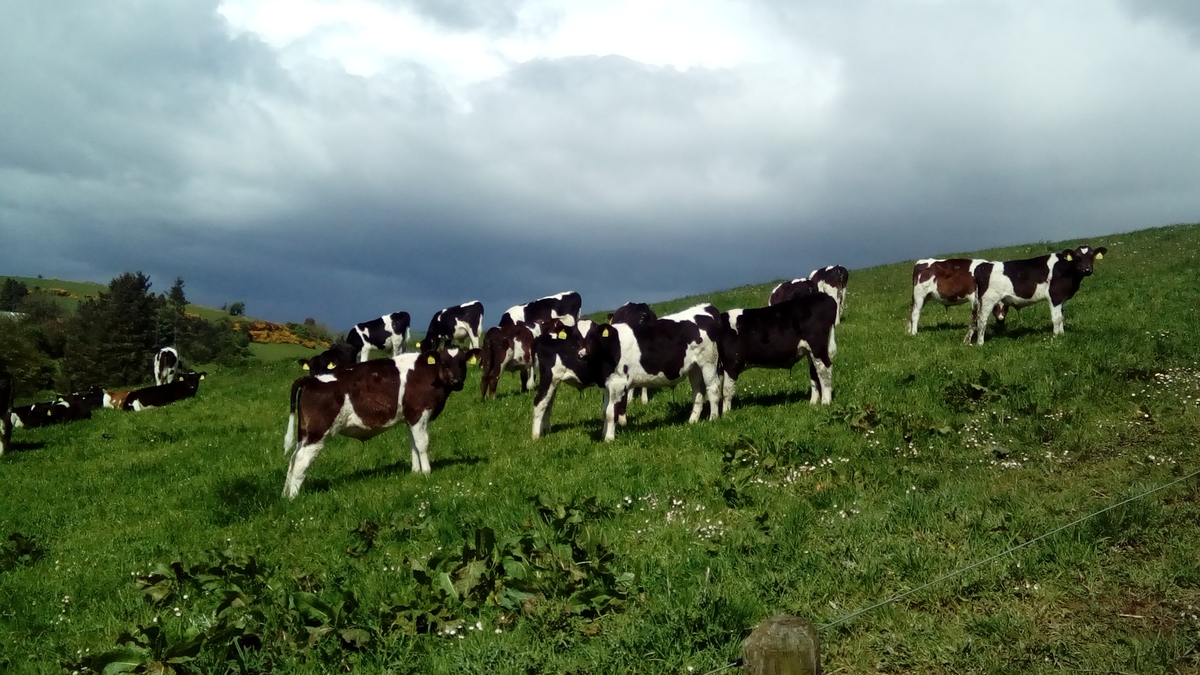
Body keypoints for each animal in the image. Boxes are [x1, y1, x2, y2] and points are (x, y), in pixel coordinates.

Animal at [281, 347, 480, 498]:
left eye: (462, 363)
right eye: (444, 363)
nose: (457, 381)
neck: (427, 374)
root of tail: (311, 379)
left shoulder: (409, 418)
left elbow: (413, 445)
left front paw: (415, 472)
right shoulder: (419, 414)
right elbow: (423, 444)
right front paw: (426, 473)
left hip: (304, 433)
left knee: (293, 459)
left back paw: (285, 494)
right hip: (318, 432)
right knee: (301, 460)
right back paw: (293, 497)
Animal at [532, 304, 722, 442]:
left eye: (593, 336)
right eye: (576, 337)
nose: (582, 354)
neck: (609, 348)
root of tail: (706, 308)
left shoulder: (617, 383)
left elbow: (610, 412)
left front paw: (609, 438)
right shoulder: (607, 384)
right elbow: (605, 411)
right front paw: (604, 435)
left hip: (708, 362)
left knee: (713, 388)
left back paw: (713, 419)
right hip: (694, 367)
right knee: (698, 391)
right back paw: (692, 420)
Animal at [967, 245, 1108, 345]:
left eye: (1092, 256)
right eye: (1077, 257)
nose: (1087, 270)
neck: (1067, 269)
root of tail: (982, 267)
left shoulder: (1061, 298)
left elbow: (1061, 316)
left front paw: (1062, 334)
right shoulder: (1055, 296)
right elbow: (1056, 318)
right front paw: (1056, 337)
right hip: (988, 300)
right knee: (982, 319)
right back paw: (980, 343)